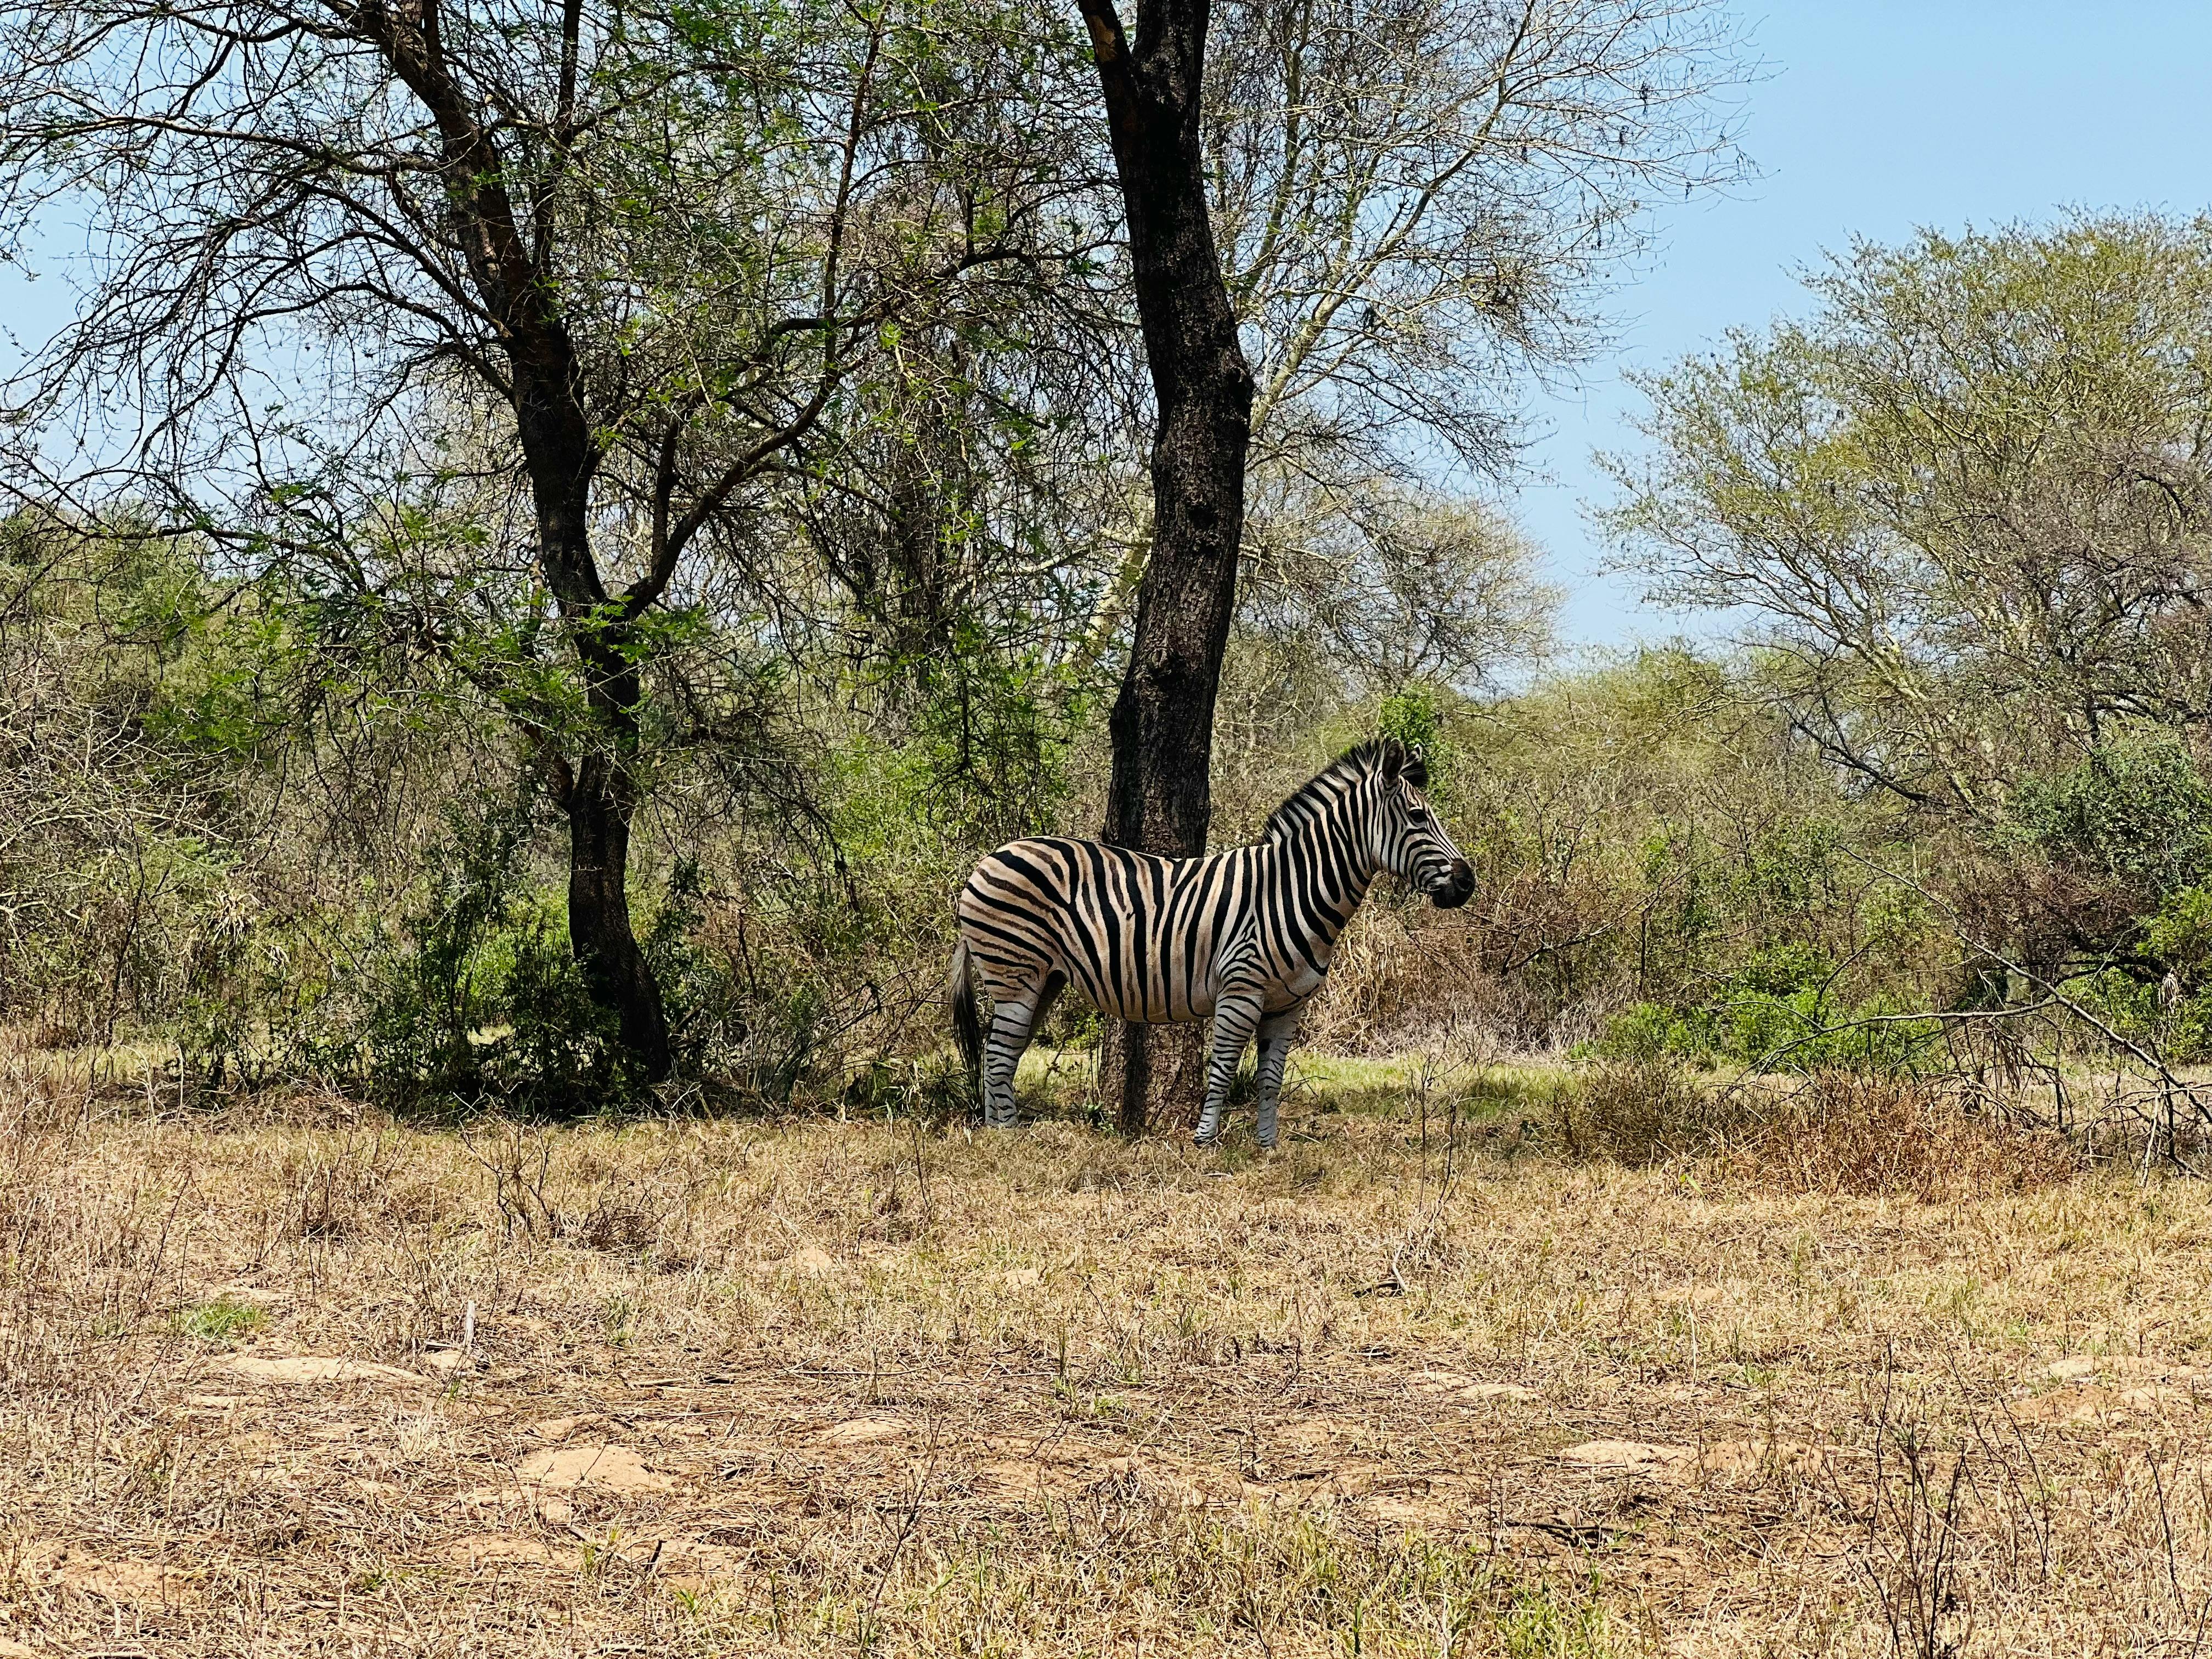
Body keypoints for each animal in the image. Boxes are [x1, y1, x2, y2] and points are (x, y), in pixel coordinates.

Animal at [946, 738, 1469, 1141]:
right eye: (1418, 818)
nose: (1468, 883)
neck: (1294, 889)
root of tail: (989, 858)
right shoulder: (1241, 990)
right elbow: (1221, 1070)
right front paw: (1205, 1143)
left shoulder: (1288, 1005)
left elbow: (1271, 1081)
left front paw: (1267, 1148)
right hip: (1015, 972)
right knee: (998, 1054)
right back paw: (1008, 1135)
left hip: (1043, 980)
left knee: (1000, 1052)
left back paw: (997, 1130)